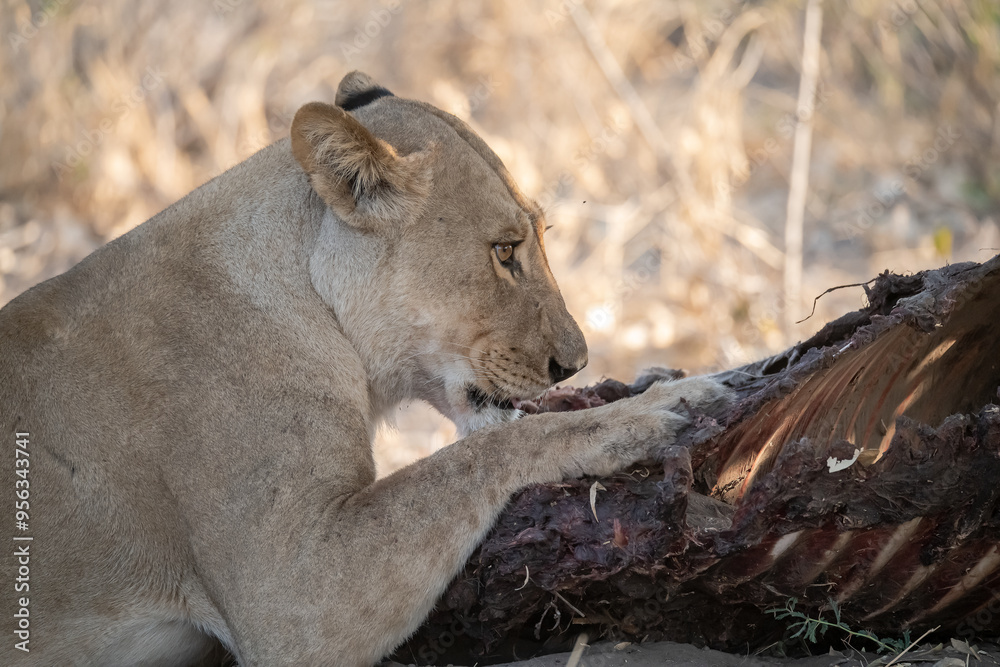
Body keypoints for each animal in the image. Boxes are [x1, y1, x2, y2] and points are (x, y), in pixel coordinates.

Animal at [0, 71, 730, 666]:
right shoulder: (292, 596)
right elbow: (477, 453)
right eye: (504, 251)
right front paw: (648, 410)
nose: (574, 364)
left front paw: (644, 382)